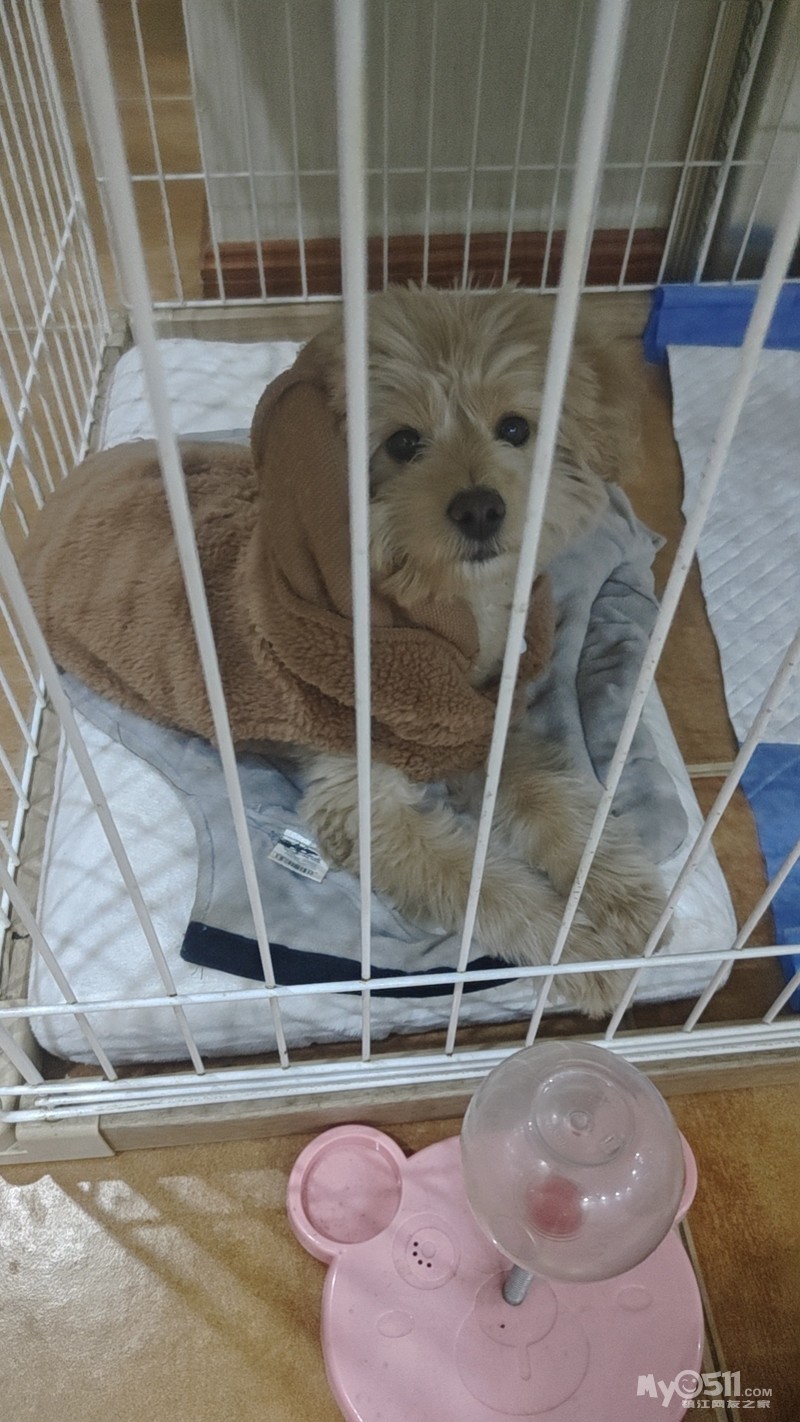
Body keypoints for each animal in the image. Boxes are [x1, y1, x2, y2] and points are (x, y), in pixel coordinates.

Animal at [291, 284, 667, 1018]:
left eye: (516, 428)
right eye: (403, 443)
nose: (479, 509)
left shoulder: (487, 720)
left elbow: (555, 800)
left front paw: (618, 893)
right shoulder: (363, 802)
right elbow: (485, 888)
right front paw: (579, 953)